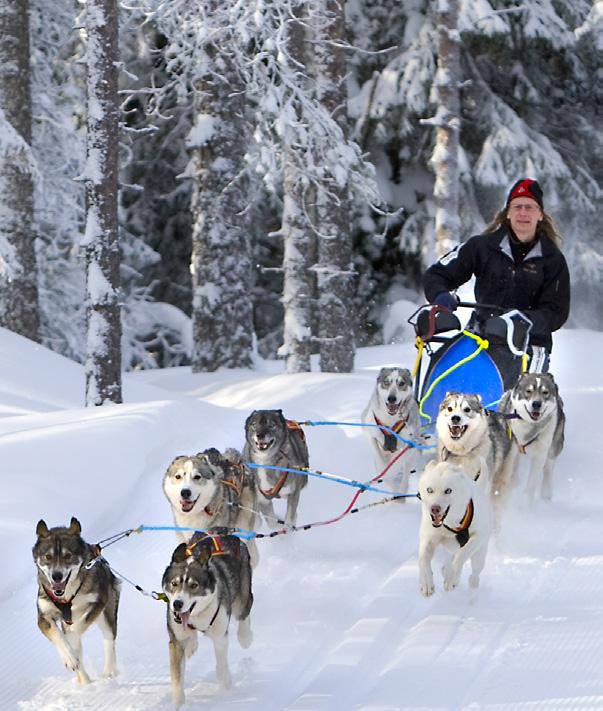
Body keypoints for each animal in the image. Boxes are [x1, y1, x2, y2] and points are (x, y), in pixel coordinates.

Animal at [31, 516, 120, 684]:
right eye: (48, 557)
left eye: (68, 556)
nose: (56, 576)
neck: (67, 595)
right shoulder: (44, 617)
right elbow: (57, 635)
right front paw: (69, 656)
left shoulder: (98, 602)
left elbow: (77, 629)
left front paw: (71, 643)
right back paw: (85, 681)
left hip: (106, 614)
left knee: (109, 641)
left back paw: (108, 673)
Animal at [162, 528, 254, 708]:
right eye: (174, 584)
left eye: (194, 585)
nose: (177, 604)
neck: (196, 616)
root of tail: (223, 531)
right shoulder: (176, 640)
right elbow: (177, 678)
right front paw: (179, 704)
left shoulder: (220, 635)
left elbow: (221, 663)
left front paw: (225, 684)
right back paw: (192, 645)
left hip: (242, 594)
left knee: (246, 607)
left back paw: (245, 637)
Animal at [418, 458, 494, 596]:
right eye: (429, 490)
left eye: (448, 490)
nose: (435, 508)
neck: (450, 523)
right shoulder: (428, 538)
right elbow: (422, 560)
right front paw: (426, 583)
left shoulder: (477, 537)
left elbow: (461, 556)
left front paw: (451, 578)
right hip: (449, 550)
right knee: (447, 563)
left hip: (479, 554)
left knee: (474, 574)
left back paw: (470, 586)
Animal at [500, 372, 568, 506]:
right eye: (528, 391)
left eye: (545, 392)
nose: (536, 404)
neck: (530, 427)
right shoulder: (511, 449)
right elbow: (509, 472)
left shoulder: (540, 455)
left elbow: (531, 484)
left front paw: (526, 506)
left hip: (554, 446)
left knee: (548, 469)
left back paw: (546, 494)